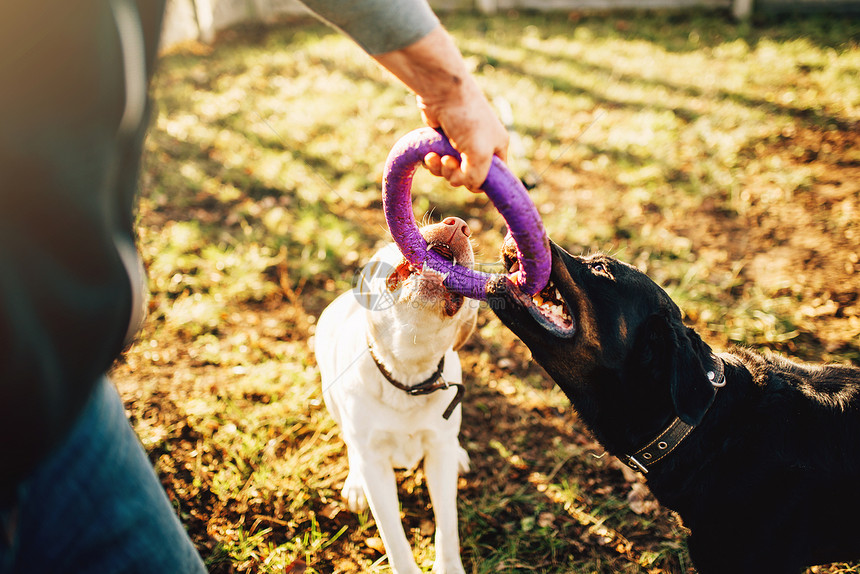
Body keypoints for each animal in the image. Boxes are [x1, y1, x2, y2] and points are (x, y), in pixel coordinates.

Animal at [316, 217, 478, 574]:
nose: (458, 224)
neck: (407, 371)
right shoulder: (376, 465)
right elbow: (393, 535)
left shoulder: (438, 455)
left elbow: (448, 526)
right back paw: (355, 484)